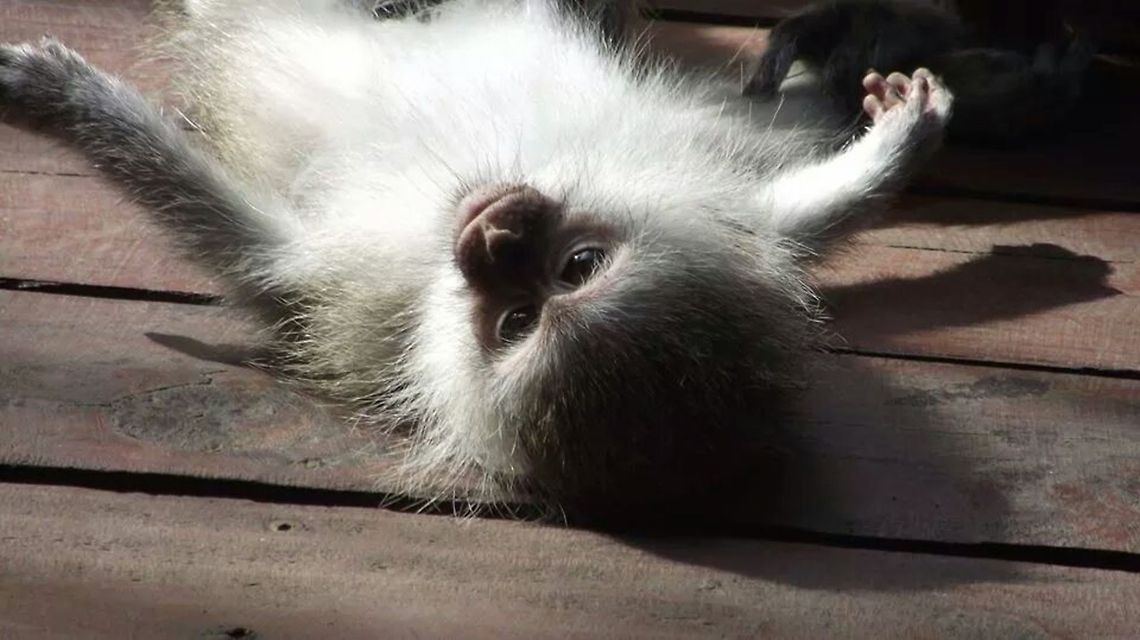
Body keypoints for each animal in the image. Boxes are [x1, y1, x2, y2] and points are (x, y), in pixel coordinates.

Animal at [0, 0, 952, 521]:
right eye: (579, 267)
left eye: (518, 319)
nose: (493, 237)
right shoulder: (731, 209)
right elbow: (797, 221)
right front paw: (902, 133)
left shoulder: (344, 291)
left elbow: (230, 232)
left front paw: (59, 99)